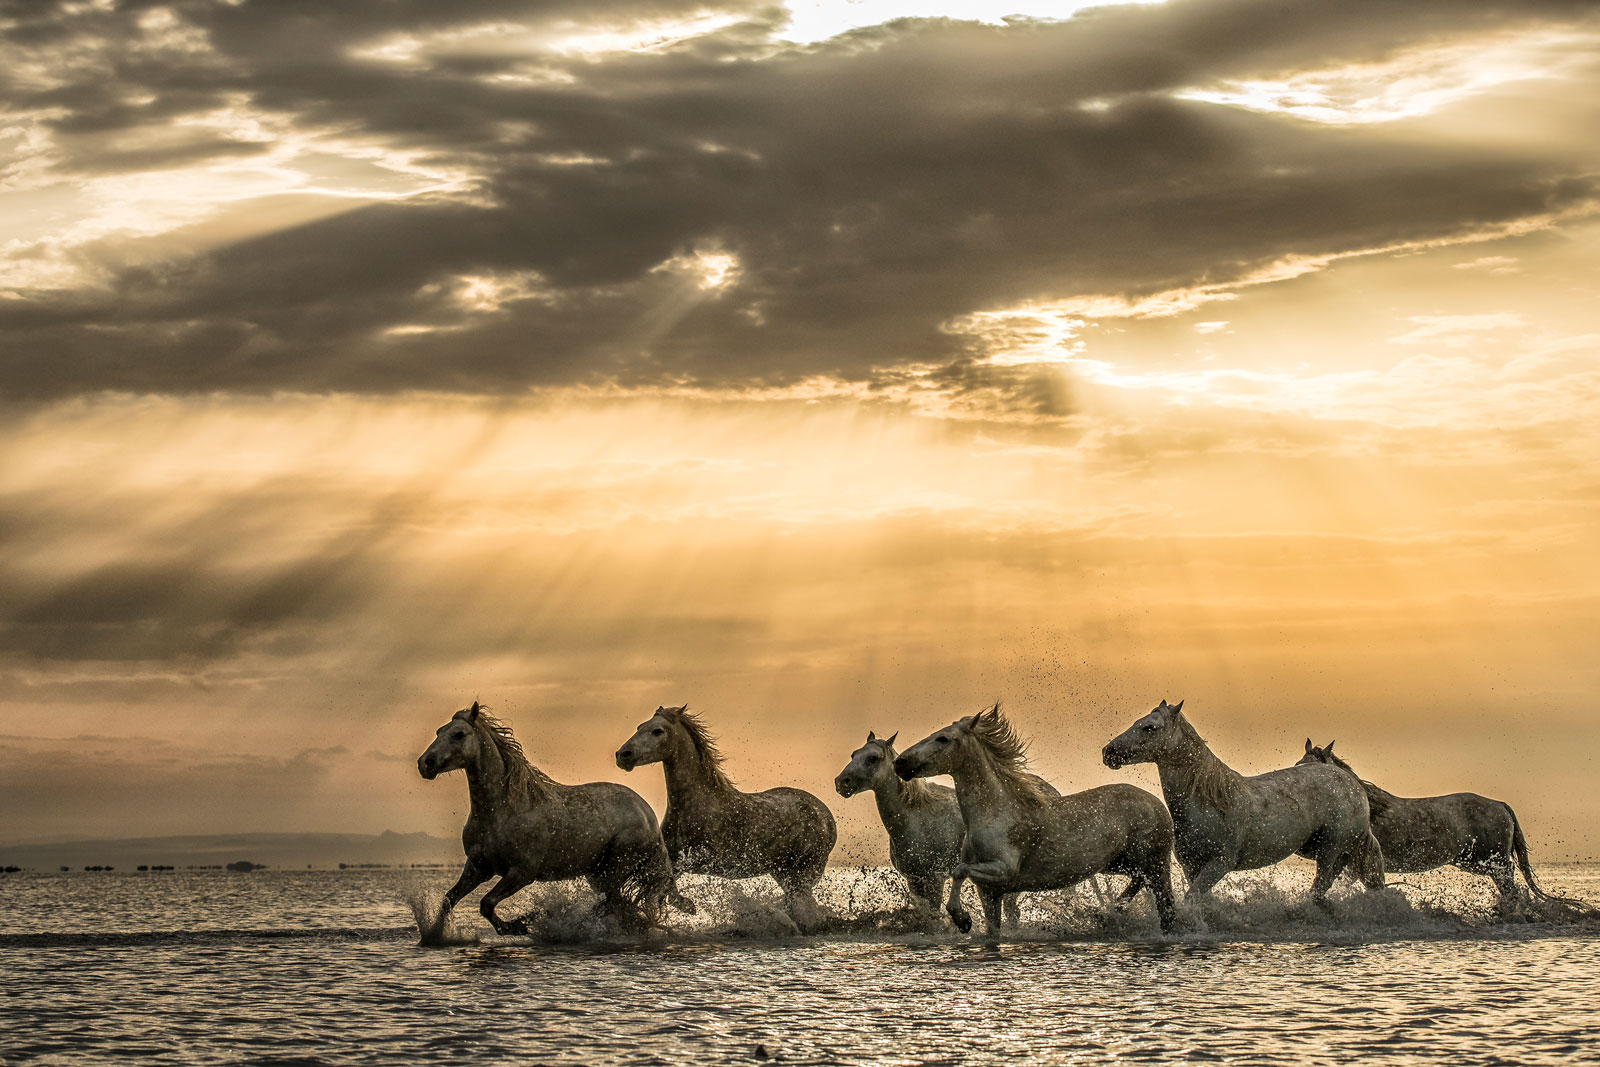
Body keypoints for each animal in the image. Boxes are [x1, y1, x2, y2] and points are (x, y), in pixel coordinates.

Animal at [416, 703, 678, 940]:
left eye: (459, 734)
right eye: (439, 731)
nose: (425, 763)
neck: (502, 810)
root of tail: (648, 814)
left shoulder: (522, 872)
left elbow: (486, 903)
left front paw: (517, 926)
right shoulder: (478, 867)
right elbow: (449, 899)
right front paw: (434, 936)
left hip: (615, 868)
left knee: (613, 904)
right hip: (598, 873)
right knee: (618, 906)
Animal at [832, 735, 1043, 927]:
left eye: (873, 758)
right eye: (854, 754)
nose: (842, 782)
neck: (917, 819)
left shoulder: (935, 879)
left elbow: (933, 913)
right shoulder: (915, 880)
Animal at [889, 703, 1177, 940]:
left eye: (943, 738)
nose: (900, 762)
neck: (995, 813)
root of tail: (1157, 804)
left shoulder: (1003, 870)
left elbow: (959, 871)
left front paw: (962, 920)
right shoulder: (989, 891)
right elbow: (992, 930)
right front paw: (966, 921)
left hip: (1155, 863)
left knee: (1167, 907)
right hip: (1120, 864)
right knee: (1139, 882)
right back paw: (1110, 911)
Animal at [1100, 700, 1388, 908]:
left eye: (1150, 727)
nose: (1108, 752)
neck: (1210, 800)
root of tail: (1352, 784)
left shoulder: (1220, 863)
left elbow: (1192, 899)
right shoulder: (1191, 865)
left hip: (1330, 846)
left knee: (1322, 883)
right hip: (1324, 848)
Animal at [1299, 742, 1587, 921]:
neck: (1368, 807)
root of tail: (1501, 805)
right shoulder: (1347, 862)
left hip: (1490, 861)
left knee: (1511, 885)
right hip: (1472, 862)